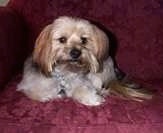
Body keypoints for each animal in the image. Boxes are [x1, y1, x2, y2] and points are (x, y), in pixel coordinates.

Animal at [17, 16, 152, 105]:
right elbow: (41, 92)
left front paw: (92, 97)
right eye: (62, 39)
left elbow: (82, 89)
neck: (65, 72)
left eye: (84, 40)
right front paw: (54, 94)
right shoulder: (30, 85)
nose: (76, 53)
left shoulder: (81, 81)